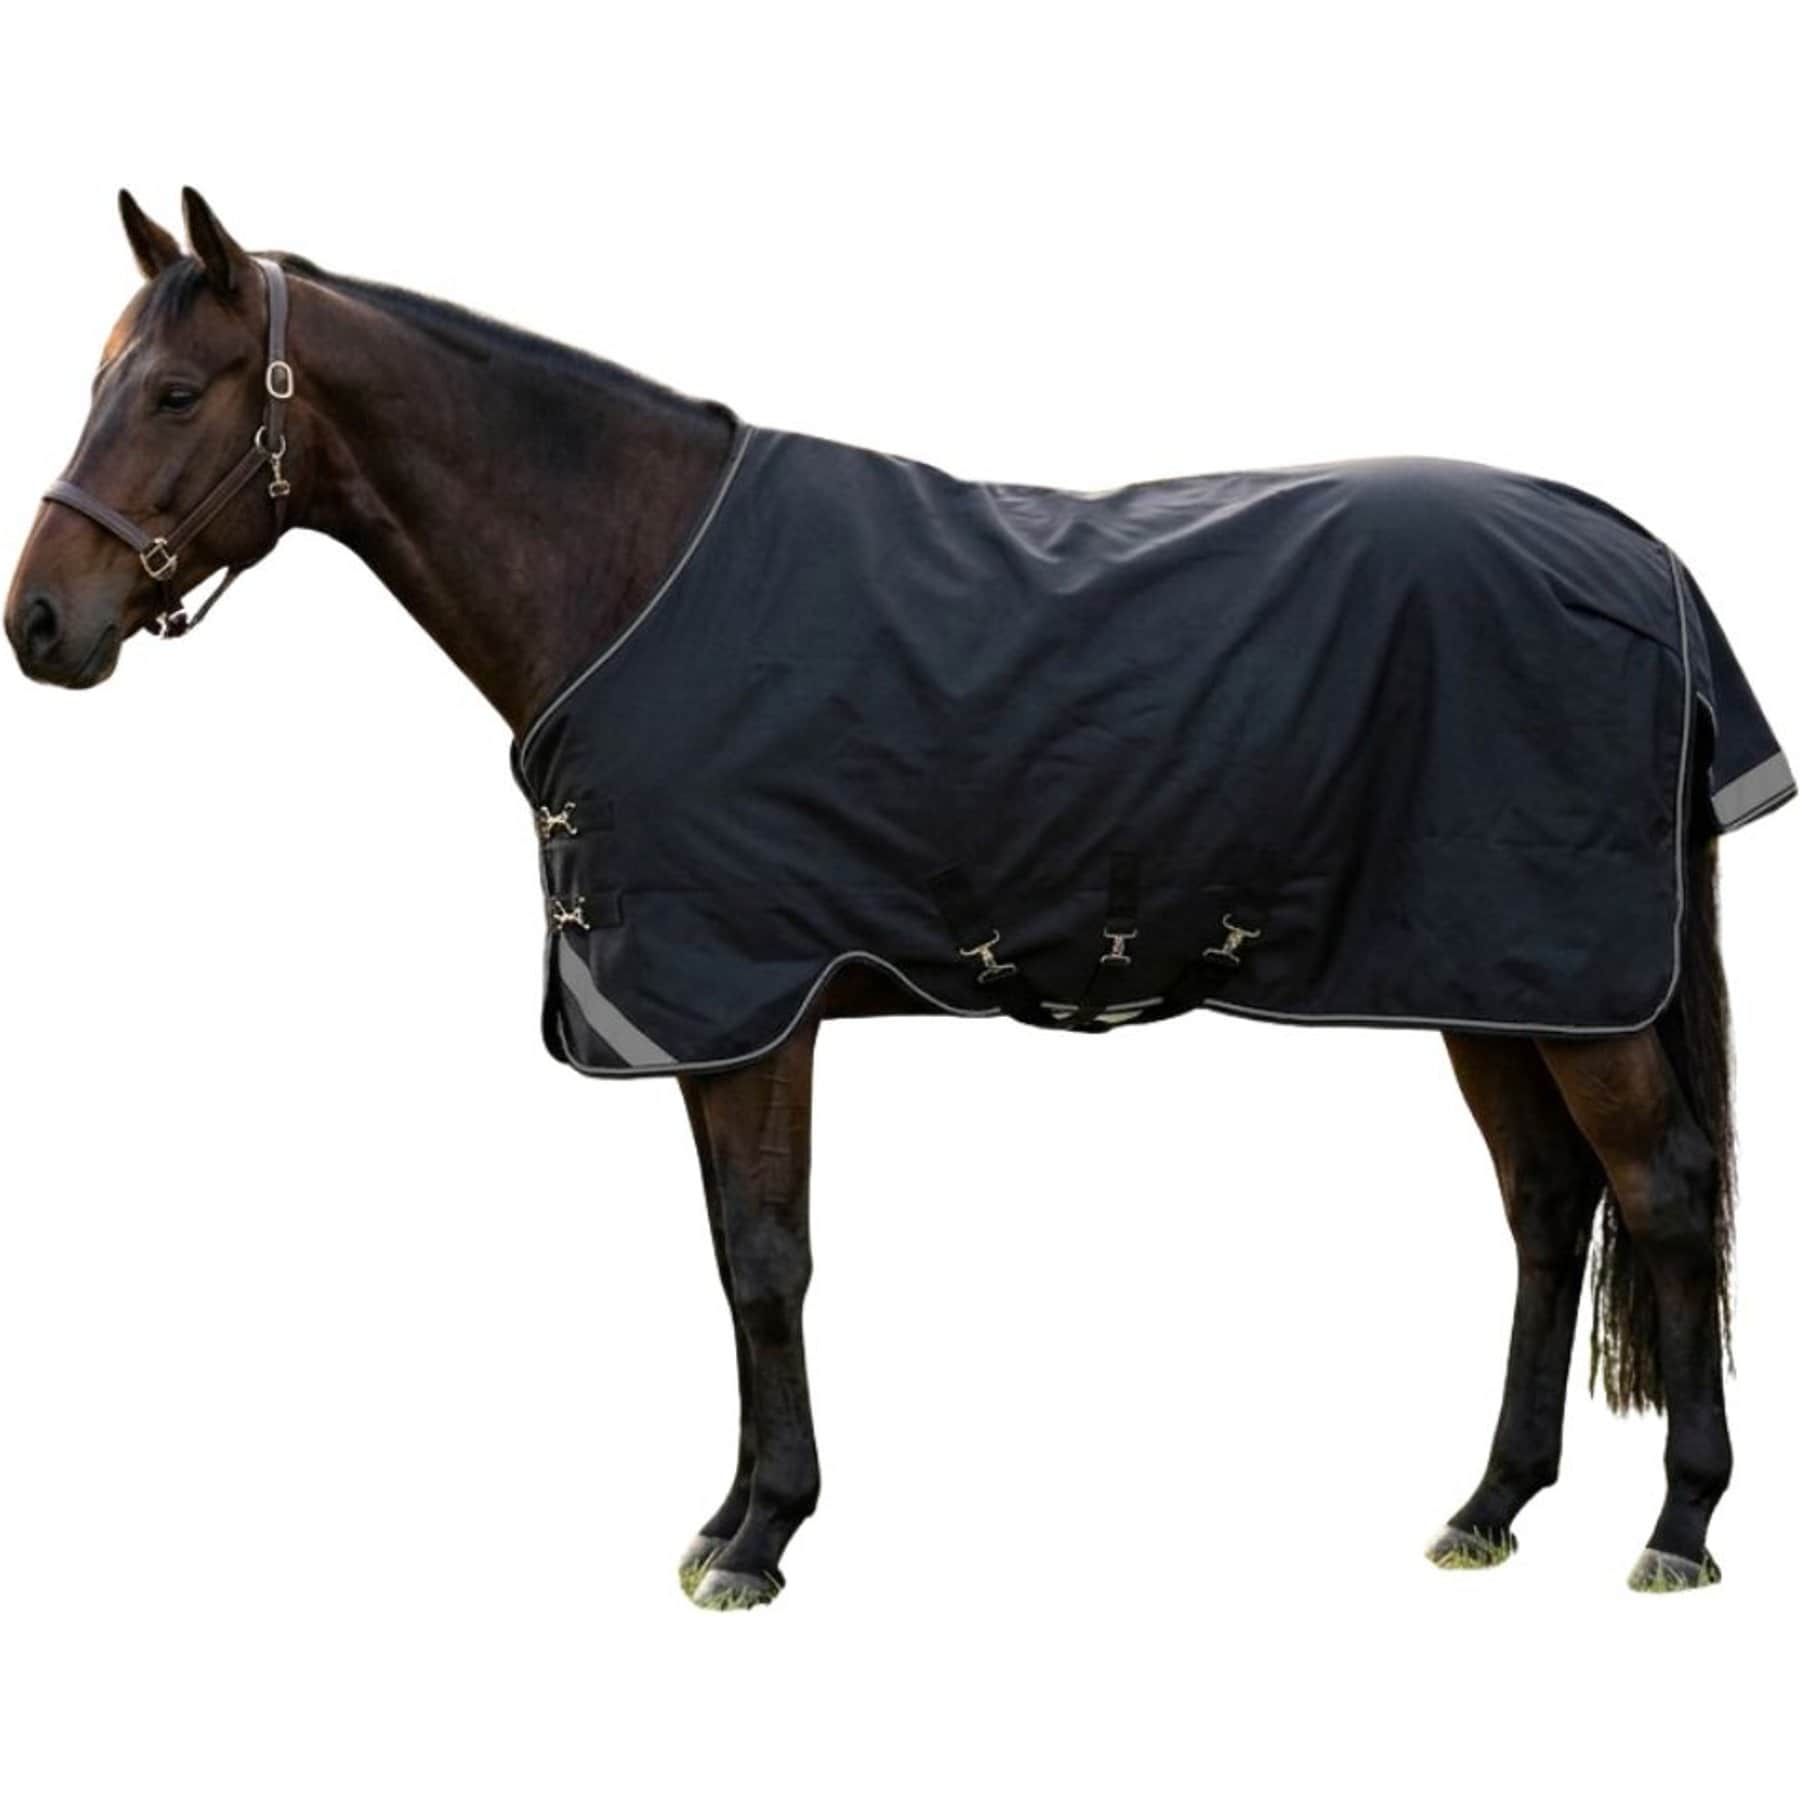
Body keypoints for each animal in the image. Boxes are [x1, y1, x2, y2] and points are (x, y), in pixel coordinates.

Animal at [6, 189, 1788, 1609]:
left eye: (173, 390)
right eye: (94, 379)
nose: (40, 623)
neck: (634, 575)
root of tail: (1639, 559)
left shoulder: (748, 1005)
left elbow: (765, 1259)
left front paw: (759, 1540)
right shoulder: (715, 1017)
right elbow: (736, 1254)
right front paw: (730, 1515)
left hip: (1568, 984)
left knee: (1664, 1192)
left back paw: (1681, 1527)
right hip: (1489, 975)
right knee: (1549, 1206)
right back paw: (1490, 1508)